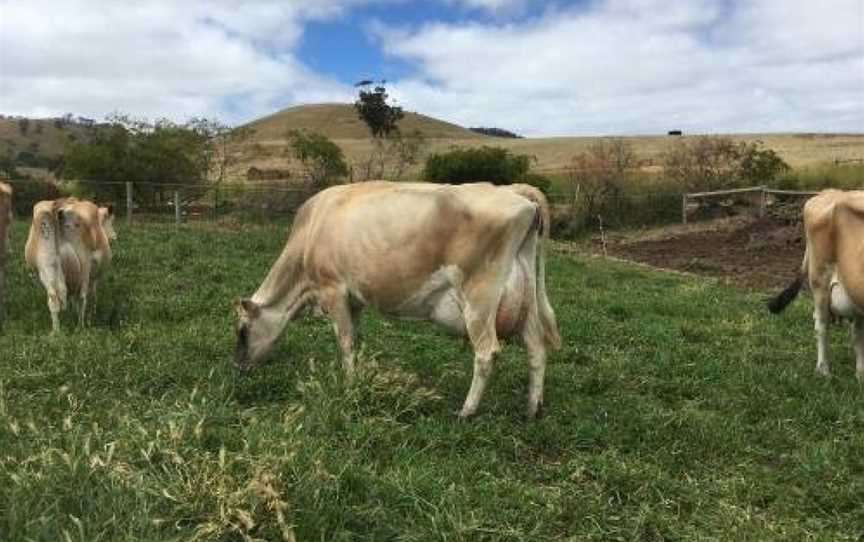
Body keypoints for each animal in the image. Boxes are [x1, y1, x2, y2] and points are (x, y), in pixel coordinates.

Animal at [25, 198, 115, 334]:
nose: (114, 235)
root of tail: (57, 206)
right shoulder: (94, 276)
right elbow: (92, 295)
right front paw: (92, 313)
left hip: (46, 265)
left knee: (53, 299)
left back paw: (56, 331)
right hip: (84, 264)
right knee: (82, 297)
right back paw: (80, 326)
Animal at [236, 183, 560, 420]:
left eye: (242, 331)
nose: (238, 367)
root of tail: (517, 192)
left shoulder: (333, 289)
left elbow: (345, 341)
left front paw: (348, 384)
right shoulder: (355, 299)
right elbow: (356, 339)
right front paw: (360, 375)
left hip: (479, 299)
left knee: (487, 352)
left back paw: (466, 412)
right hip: (524, 297)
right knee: (536, 347)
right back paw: (533, 408)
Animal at [772, 191, 864, 382]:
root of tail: (828, 192)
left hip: (852, 289)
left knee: (857, 333)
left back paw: (860, 374)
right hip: (819, 280)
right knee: (821, 325)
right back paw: (823, 370)